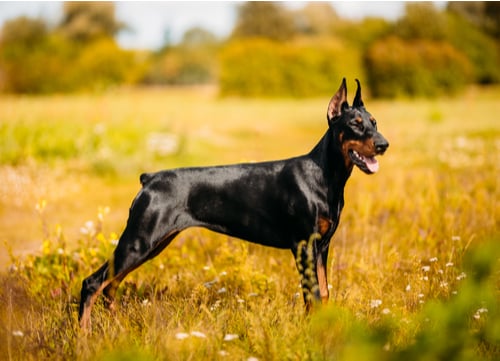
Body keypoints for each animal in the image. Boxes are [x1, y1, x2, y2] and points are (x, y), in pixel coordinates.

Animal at [79, 78, 390, 326]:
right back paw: (84, 336)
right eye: (355, 125)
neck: (325, 174)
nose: (383, 144)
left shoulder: (322, 245)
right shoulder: (304, 245)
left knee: (110, 286)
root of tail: (149, 178)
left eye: (374, 122)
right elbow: (311, 294)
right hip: (140, 241)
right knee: (92, 283)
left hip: (154, 244)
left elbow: (323, 292)